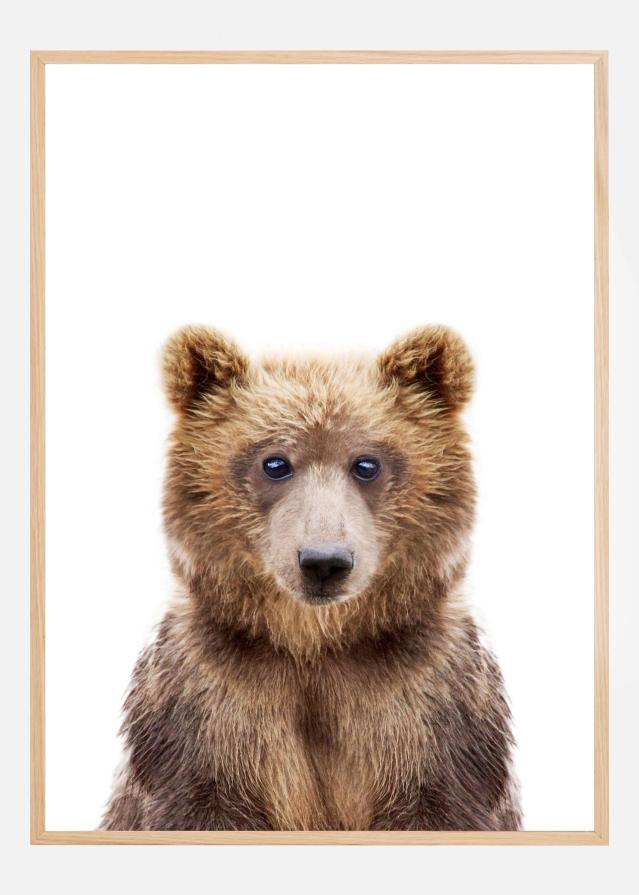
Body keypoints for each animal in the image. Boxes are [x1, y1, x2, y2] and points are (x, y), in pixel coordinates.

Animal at [100, 324, 521, 832]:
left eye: (366, 463)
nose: (324, 561)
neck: (316, 644)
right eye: (275, 462)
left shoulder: (429, 707)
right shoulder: (207, 707)